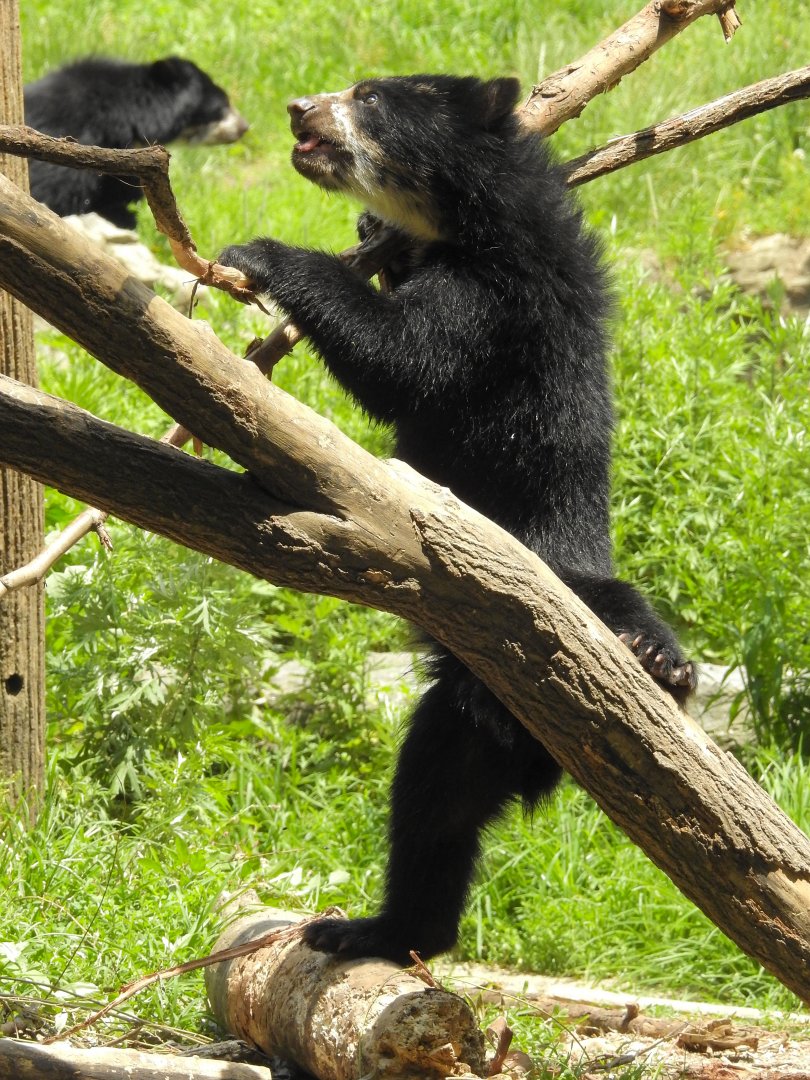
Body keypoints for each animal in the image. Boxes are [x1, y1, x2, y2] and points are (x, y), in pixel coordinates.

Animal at [219, 74, 696, 965]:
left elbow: (403, 357)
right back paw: (380, 929)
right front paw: (368, 231)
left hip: (554, 585)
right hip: (466, 715)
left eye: (370, 99)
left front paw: (258, 255)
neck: (468, 217)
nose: (300, 109)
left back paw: (660, 659)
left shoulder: (497, 305)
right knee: (435, 812)